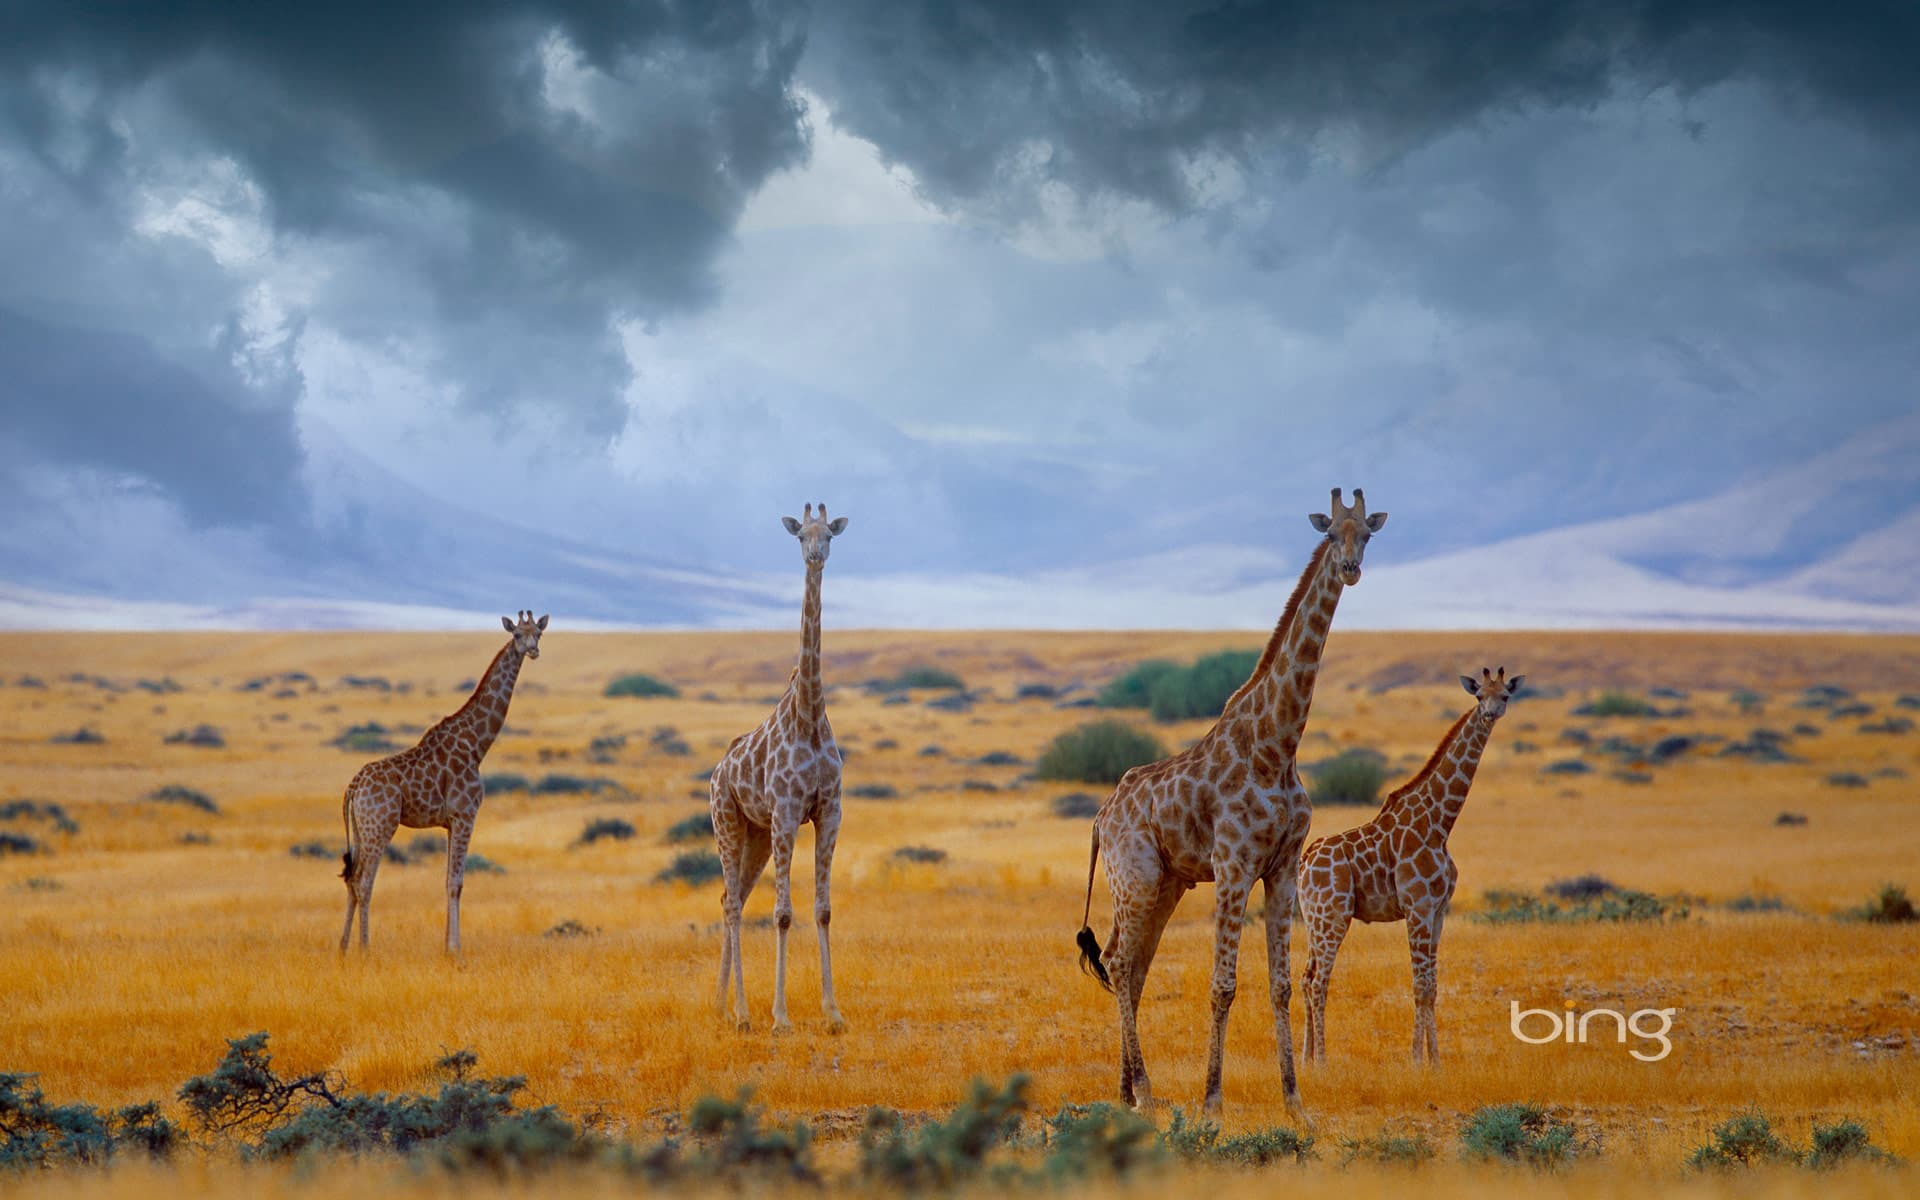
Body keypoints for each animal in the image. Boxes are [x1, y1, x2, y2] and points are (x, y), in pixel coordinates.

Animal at [337, 611, 546, 954]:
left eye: (538, 633)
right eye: (517, 634)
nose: (533, 651)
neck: (477, 745)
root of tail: (352, 788)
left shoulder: (450, 822)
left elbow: (447, 880)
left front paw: (447, 948)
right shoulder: (466, 815)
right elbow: (456, 883)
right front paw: (455, 950)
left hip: (360, 827)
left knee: (352, 879)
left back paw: (342, 949)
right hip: (380, 825)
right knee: (364, 881)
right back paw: (365, 949)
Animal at [709, 502, 849, 1034]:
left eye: (829, 534)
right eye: (800, 536)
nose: (816, 556)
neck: (808, 715)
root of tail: (715, 774)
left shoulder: (829, 812)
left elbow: (823, 909)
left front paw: (833, 1013)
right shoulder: (788, 814)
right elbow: (784, 914)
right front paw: (782, 1017)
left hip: (755, 836)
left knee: (731, 900)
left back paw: (723, 1005)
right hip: (727, 823)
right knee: (732, 904)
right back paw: (745, 1014)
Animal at [1077, 487, 1387, 1118]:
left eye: (1367, 533)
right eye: (1331, 533)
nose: (1350, 568)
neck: (1277, 745)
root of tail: (1100, 818)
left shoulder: (1283, 867)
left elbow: (1281, 984)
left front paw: (1295, 1102)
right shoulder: (1233, 865)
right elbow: (1222, 985)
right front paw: (1212, 1103)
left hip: (1166, 883)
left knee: (1132, 965)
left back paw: (1126, 1093)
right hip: (1136, 875)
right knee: (1119, 961)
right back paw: (1147, 1093)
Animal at [1298, 666, 1524, 1064]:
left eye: (1505, 695)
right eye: (1479, 695)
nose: (1491, 712)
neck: (1440, 823)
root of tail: (1305, 862)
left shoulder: (1438, 909)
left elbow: (1432, 984)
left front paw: (1435, 1061)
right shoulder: (1417, 906)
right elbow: (1419, 984)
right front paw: (1416, 1060)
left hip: (1314, 918)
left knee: (1305, 976)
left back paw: (1307, 1059)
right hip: (1333, 916)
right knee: (1317, 981)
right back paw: (1322, 1062)